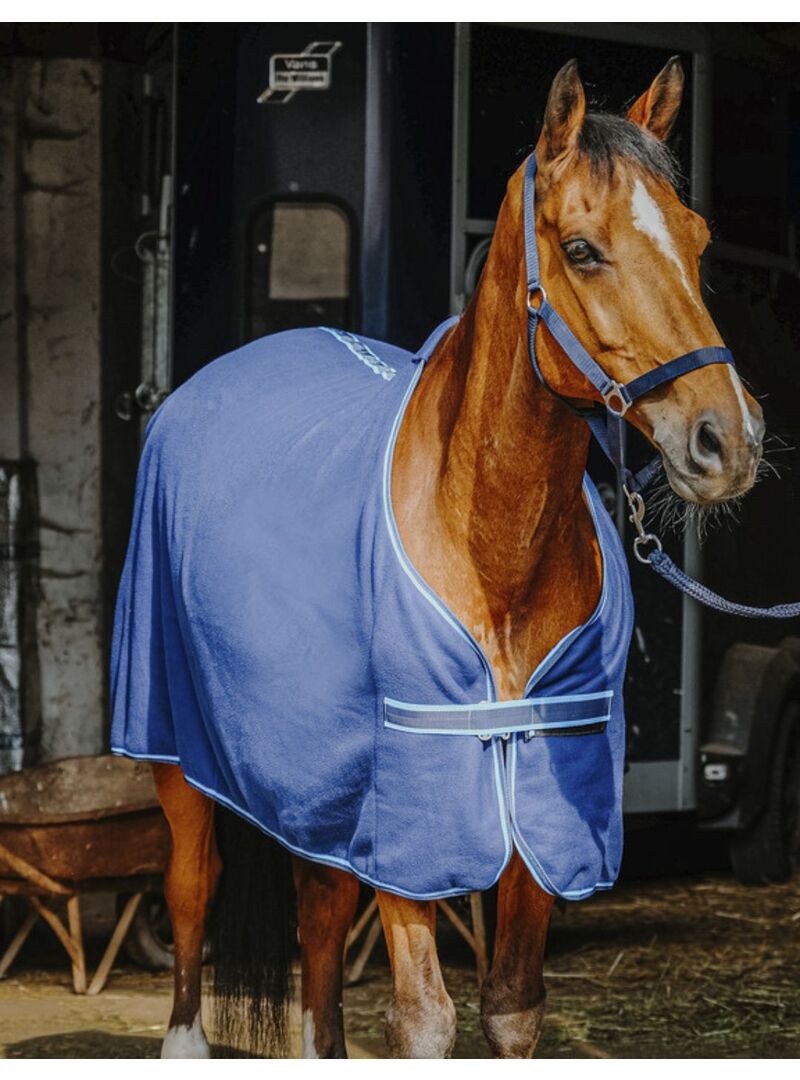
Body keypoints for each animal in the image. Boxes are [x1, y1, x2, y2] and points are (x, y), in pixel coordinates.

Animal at [112, 57, 765, 1058]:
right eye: (583, 250)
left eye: (697, 240)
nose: (727, 441)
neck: (493, 549)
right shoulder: (414, 816)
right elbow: (424, 1019)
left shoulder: (542, 801)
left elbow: (512, 1008)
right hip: (174, 752)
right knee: (192, 892)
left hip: (322, 792)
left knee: (318, 913)